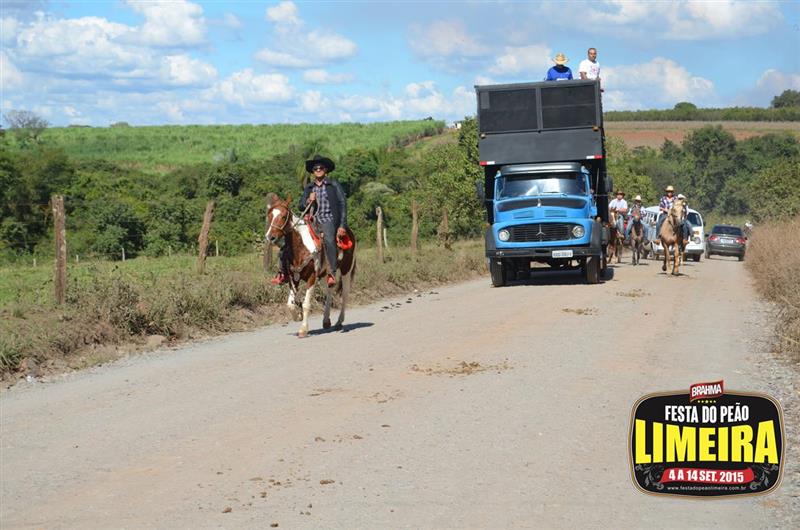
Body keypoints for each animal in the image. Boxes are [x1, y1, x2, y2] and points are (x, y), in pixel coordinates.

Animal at [265, 194, 356, 338]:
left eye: (284, 216)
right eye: (270, 215)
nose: (270, 237)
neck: (301, 247)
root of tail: (348, 231)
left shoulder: (312, 277)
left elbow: (306, 304)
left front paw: (303, 329)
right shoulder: (293, 278)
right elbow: (290, 304)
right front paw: (298, 316)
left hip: (346, 269)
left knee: (345, 293)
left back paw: (339, 322)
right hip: (325, 273)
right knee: (329, 289)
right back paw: (326, 321)